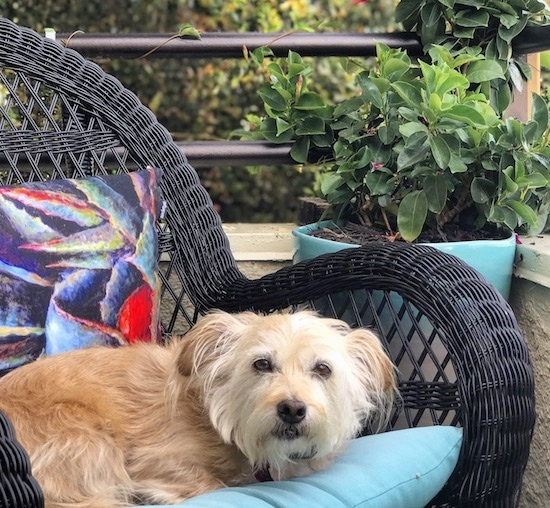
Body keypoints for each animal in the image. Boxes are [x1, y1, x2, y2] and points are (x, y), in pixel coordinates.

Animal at [0, 310, 396, 508]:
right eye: (262, 364)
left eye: (323, 369)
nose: (293, 409)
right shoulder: (152, 458)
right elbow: (208, 484)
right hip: (87, 436)